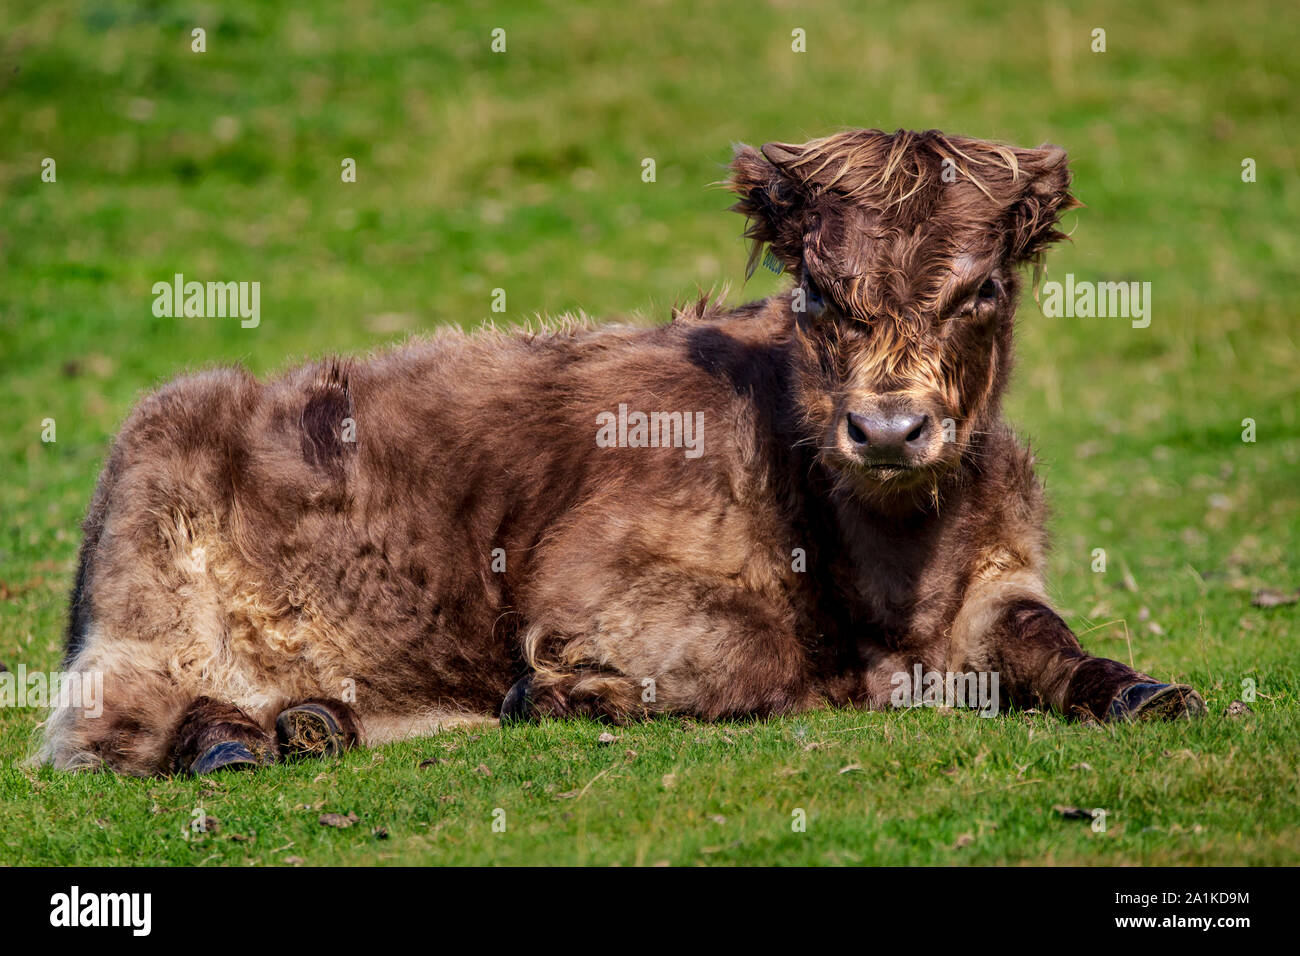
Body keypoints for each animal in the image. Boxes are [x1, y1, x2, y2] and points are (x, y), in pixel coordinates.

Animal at [45, 127, 1201, 775]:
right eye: (818, 292)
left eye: (983, 289)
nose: (887, 429)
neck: (892, 585)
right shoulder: (590, 583)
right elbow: (752, 652)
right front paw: (560, 693)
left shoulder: (1000, 580)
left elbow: (1049, 637)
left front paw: (1144, 690)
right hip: (144, 598)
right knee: (120, 721)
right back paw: (230, 741)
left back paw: (311, 723)